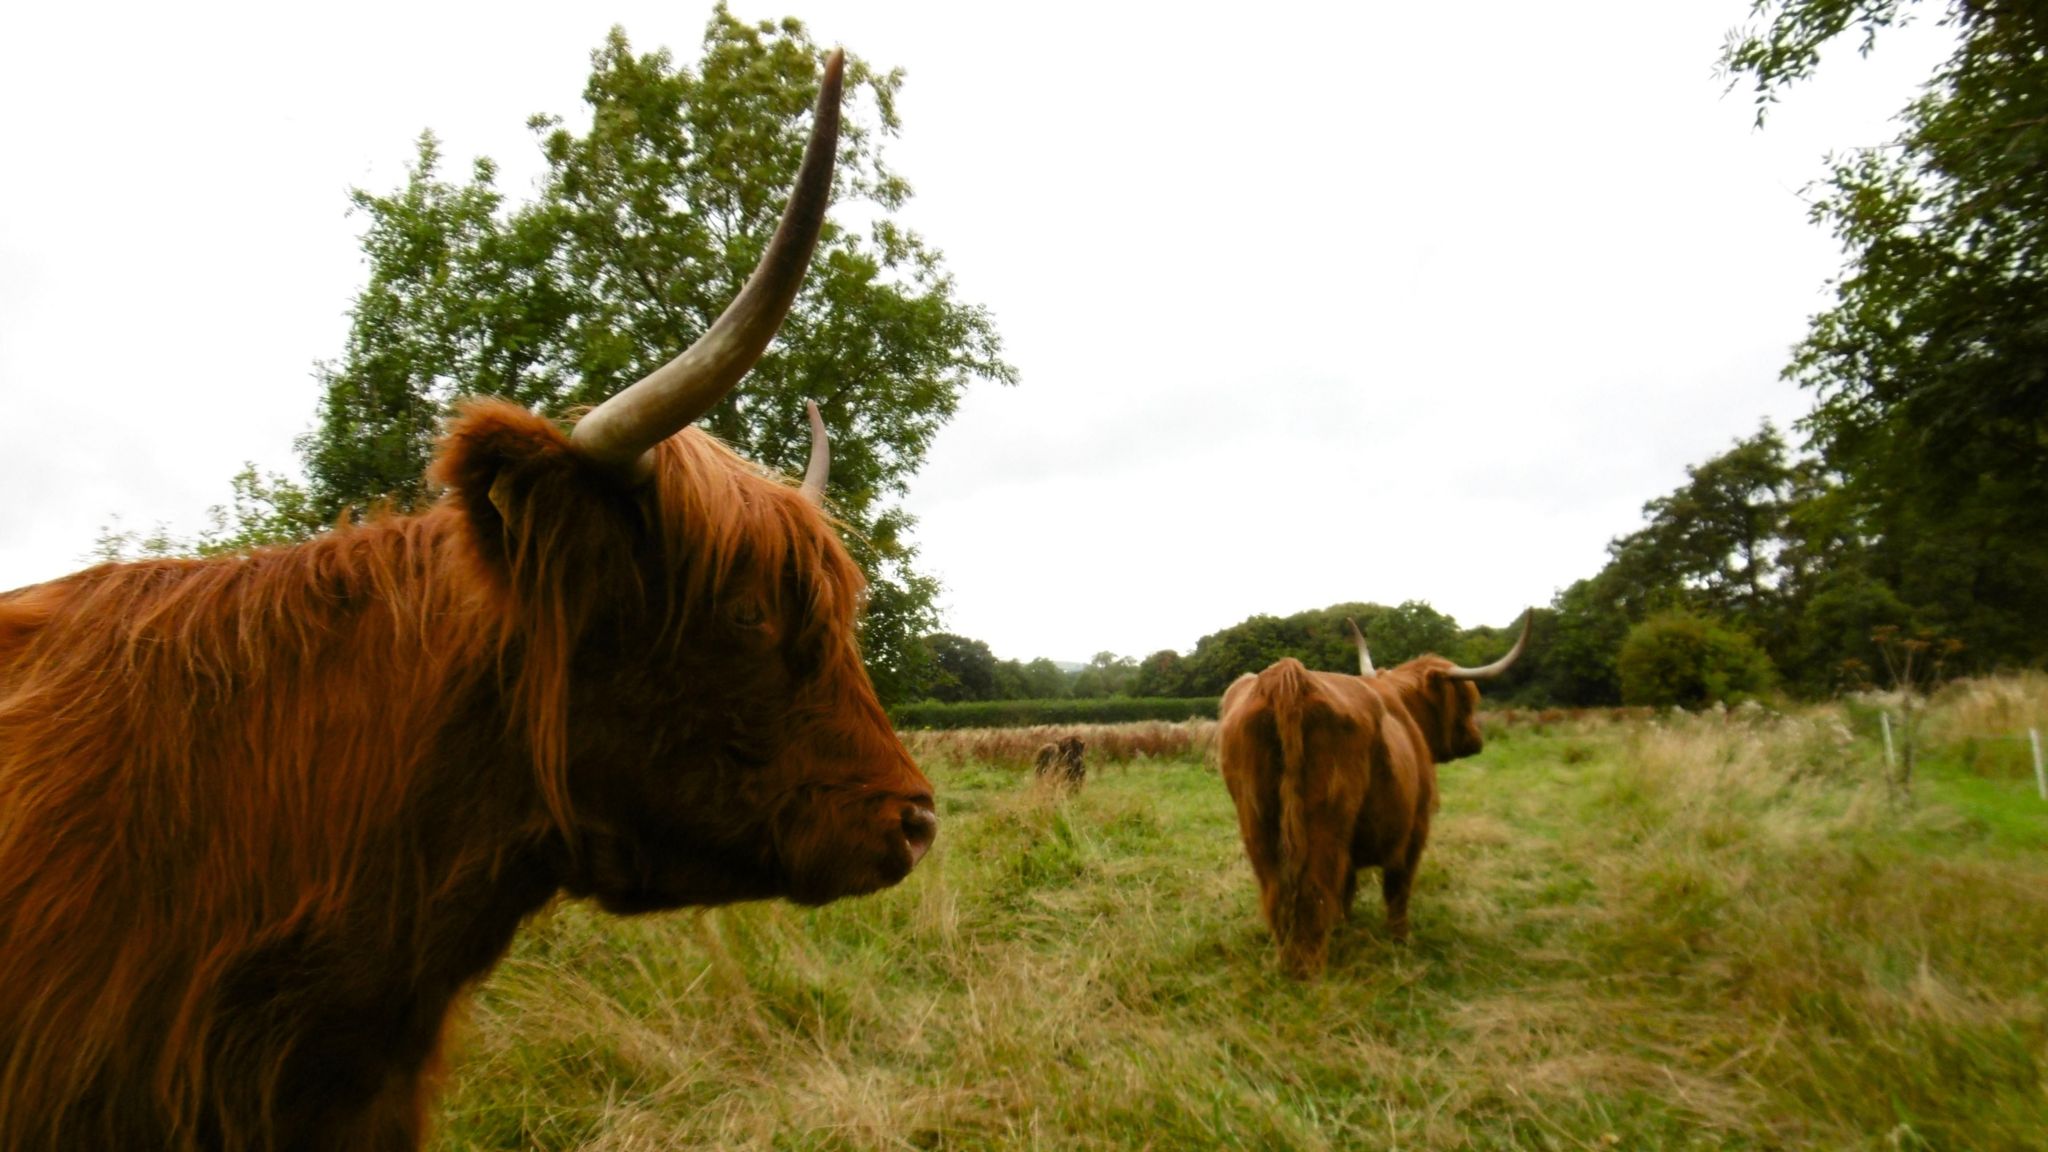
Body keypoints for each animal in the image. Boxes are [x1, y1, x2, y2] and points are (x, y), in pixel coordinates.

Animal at [1212, 606, 1523, 971]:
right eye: (1467, 699)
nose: (1476, 738)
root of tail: (1289, 675)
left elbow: (1347, 890)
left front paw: (1344, 928)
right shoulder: (1415, 828)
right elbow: (1397, 888)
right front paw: (1400, 940)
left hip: (1257, 823)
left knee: (1276, 892)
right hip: (1326, 822)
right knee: (1316, 890)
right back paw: (1309, 969)